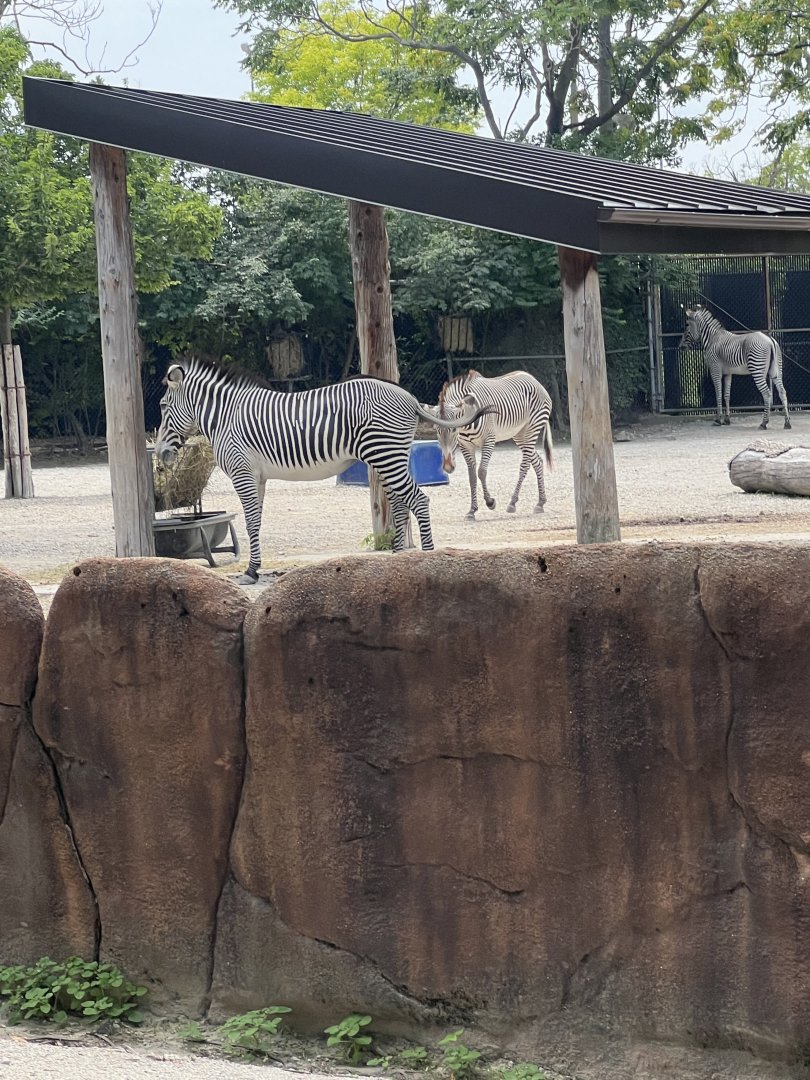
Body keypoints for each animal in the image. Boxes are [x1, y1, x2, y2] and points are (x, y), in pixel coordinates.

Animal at [153, 357, 492, 583]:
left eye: (162, 406)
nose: (160, 455)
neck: (226, 415)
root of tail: (409, 397)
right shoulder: (257, 476)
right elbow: (256, 522)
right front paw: (255, 567)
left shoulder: (242, 472)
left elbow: (250, 522)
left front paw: (250, 572)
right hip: (388, 455)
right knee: (400, 503)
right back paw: (397, 556)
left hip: (385, 453)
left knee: (418, 500)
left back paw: (427, 561)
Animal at [427, 369, 553, 520]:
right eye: (436, 430)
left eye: (453, 429)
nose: (447, 467)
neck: (466, 425)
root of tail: (533, 379)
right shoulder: (465, 445)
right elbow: (471, 476)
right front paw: (472, 510)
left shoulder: (488, 440)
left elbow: (481, 472)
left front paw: (490, 502)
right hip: (519, 434)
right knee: (537, 461)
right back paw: (540, 503)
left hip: (532, 428)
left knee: (525, 465)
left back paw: (513, 502)